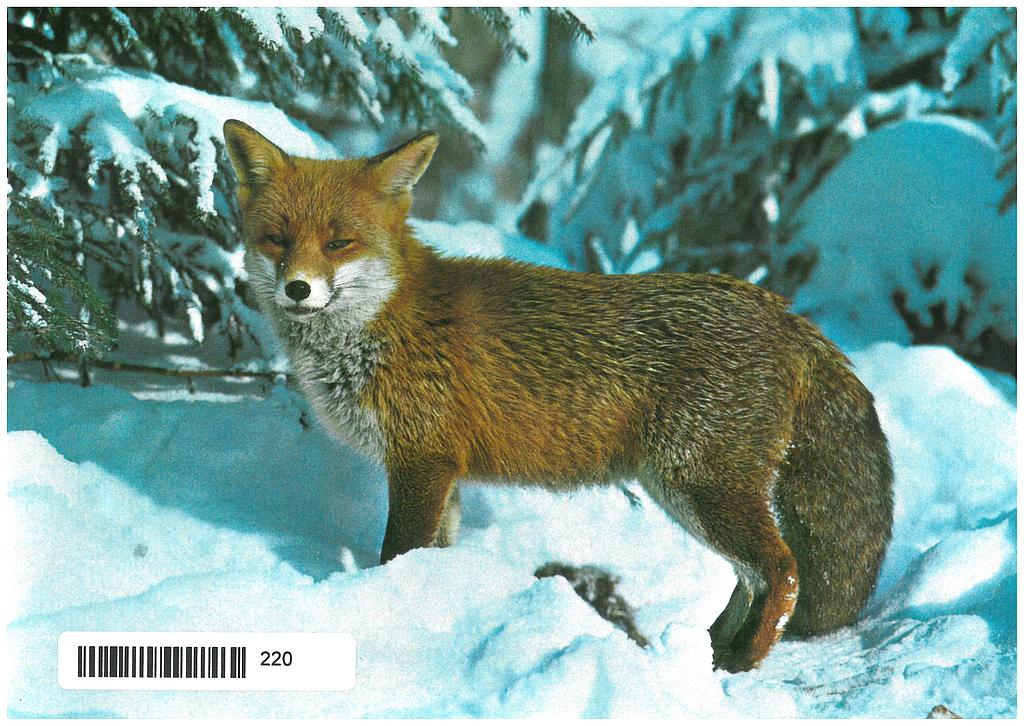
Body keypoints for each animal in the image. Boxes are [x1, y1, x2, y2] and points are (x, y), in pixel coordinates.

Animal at [222, 119, 894, 673]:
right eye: (277, 239)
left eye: (339, 242)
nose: (298, 288)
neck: (383, 324)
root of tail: (780, 309)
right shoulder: (444, 470)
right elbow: (436, 551)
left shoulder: (421, 460)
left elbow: (397, 553)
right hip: (687, 491)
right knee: (749, 578)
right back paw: (704, 652)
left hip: (700, 485)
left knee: (782, 571)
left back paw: (738, 665)